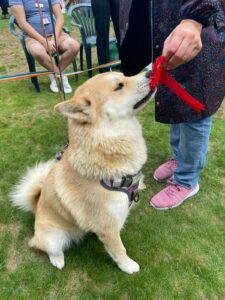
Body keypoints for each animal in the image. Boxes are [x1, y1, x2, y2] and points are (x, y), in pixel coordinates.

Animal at [9, 71, 152, 274]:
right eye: (119, 86)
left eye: (125, 75)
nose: (150, 72)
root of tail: (36, 208)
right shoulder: (108, 227)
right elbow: (119, 249)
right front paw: (128, 266)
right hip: (54, 237)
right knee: (43, 247)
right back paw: (57, 260)